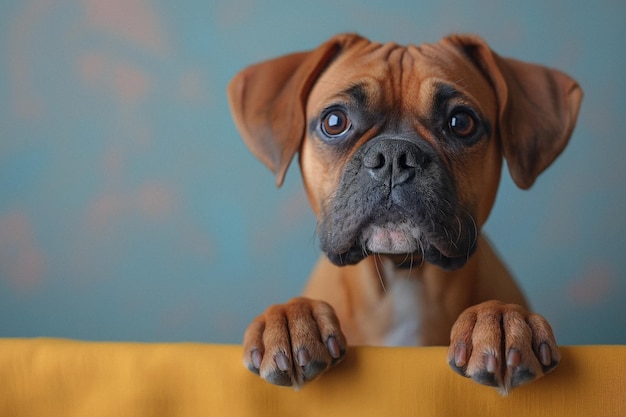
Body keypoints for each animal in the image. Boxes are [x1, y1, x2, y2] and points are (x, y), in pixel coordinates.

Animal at [227, 33, 584, 394]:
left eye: (461, 122)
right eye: (334, 121)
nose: (394, 156)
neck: (403, 276)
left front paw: (501, 320)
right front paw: (290, 319)